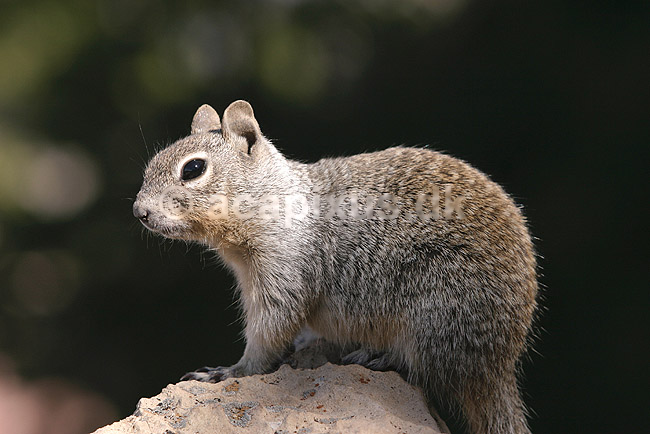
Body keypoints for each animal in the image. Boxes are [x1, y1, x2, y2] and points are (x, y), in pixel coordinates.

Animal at [133, 100, 538, 434]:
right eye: (151, 165)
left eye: (193, 169)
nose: (139, 211)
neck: (273, 199)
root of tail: (501, 366)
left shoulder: (283, 273)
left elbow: (269, 335)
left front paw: (229, 372)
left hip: (436, 307)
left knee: (426, 365)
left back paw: (376, 354)